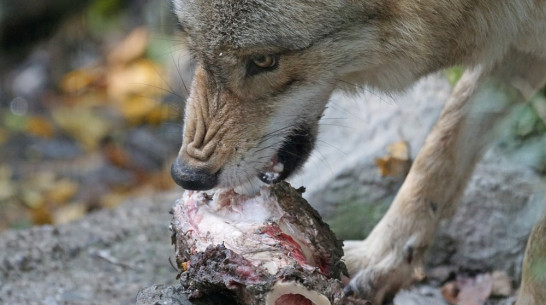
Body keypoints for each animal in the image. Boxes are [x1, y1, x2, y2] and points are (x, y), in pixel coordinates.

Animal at [168, 1, 540, 302]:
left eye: (263, 60)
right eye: (194, 46)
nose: (187, 175)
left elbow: (536, 243)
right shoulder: (515, 44)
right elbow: (439, 150)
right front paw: (380, 259)